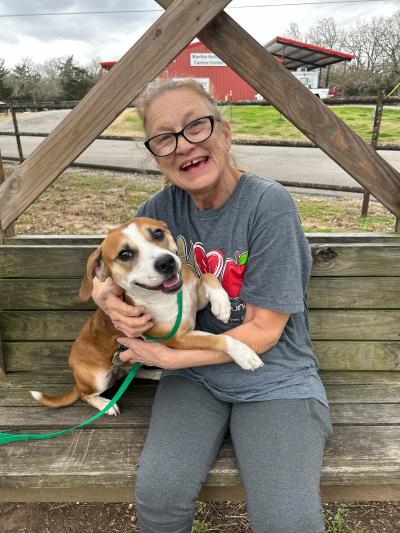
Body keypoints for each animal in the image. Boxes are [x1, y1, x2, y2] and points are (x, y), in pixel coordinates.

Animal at [31, 216, 262, 416]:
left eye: (157, 233)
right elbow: (219, 340)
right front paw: (244, 354)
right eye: (125, 254)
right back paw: (105, 404)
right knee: (85, 395)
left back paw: (154, 372)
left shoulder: (195, 300)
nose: (166, 262)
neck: (166, 297)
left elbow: (206, 276)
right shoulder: (179, 338)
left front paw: (221, 303)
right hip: (98, 378)